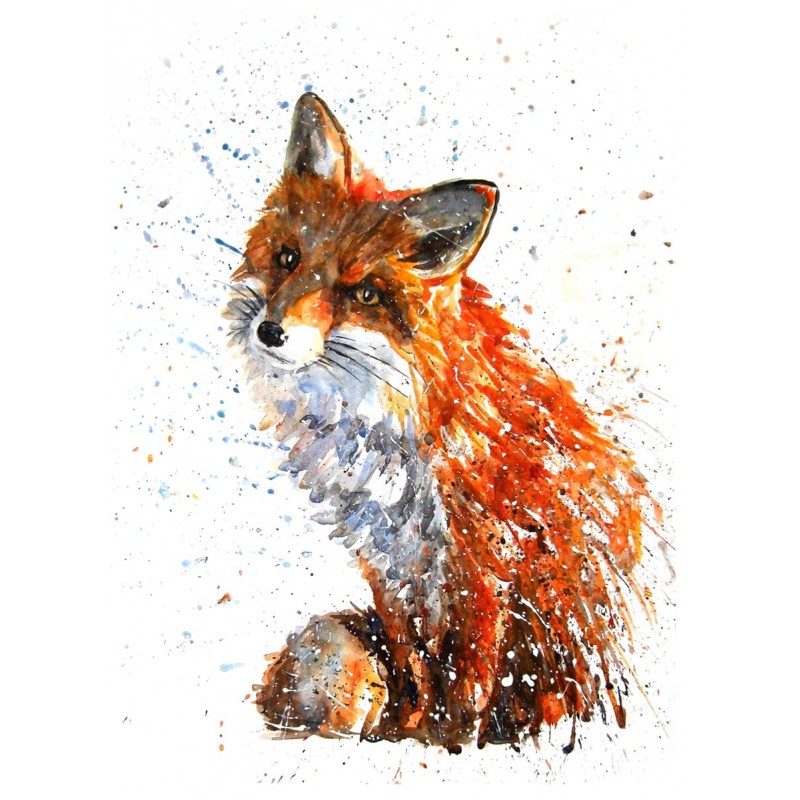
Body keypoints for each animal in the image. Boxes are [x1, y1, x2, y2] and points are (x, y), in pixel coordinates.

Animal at [224, 93, 658, 753]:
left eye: (364, 294)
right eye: (289, 258)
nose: (270, 331)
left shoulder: (484, 565)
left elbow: (469, 680)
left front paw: (455, 743)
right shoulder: (390, 563)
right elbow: (416, 666)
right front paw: (407, 728)